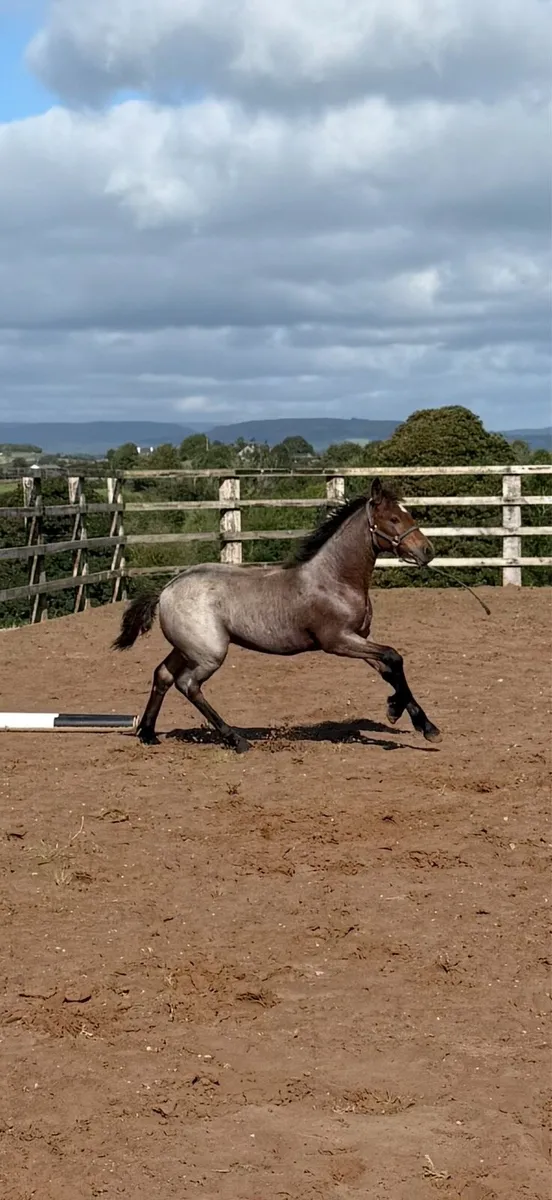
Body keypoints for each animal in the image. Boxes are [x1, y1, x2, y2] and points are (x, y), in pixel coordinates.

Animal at [112, 477, 441, 751]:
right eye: (393, 519)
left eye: (407, 515)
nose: (427, 551)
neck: (335, 579)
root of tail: (167, 589)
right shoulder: (338, 641)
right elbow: (393, 657)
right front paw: (407, 717)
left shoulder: (359, 638)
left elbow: (389, 668)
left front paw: (415, 720)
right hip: (209, 654)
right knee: (189, 686)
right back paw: (236, 740)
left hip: (187, 649)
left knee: (163, 675)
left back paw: (148, 734)